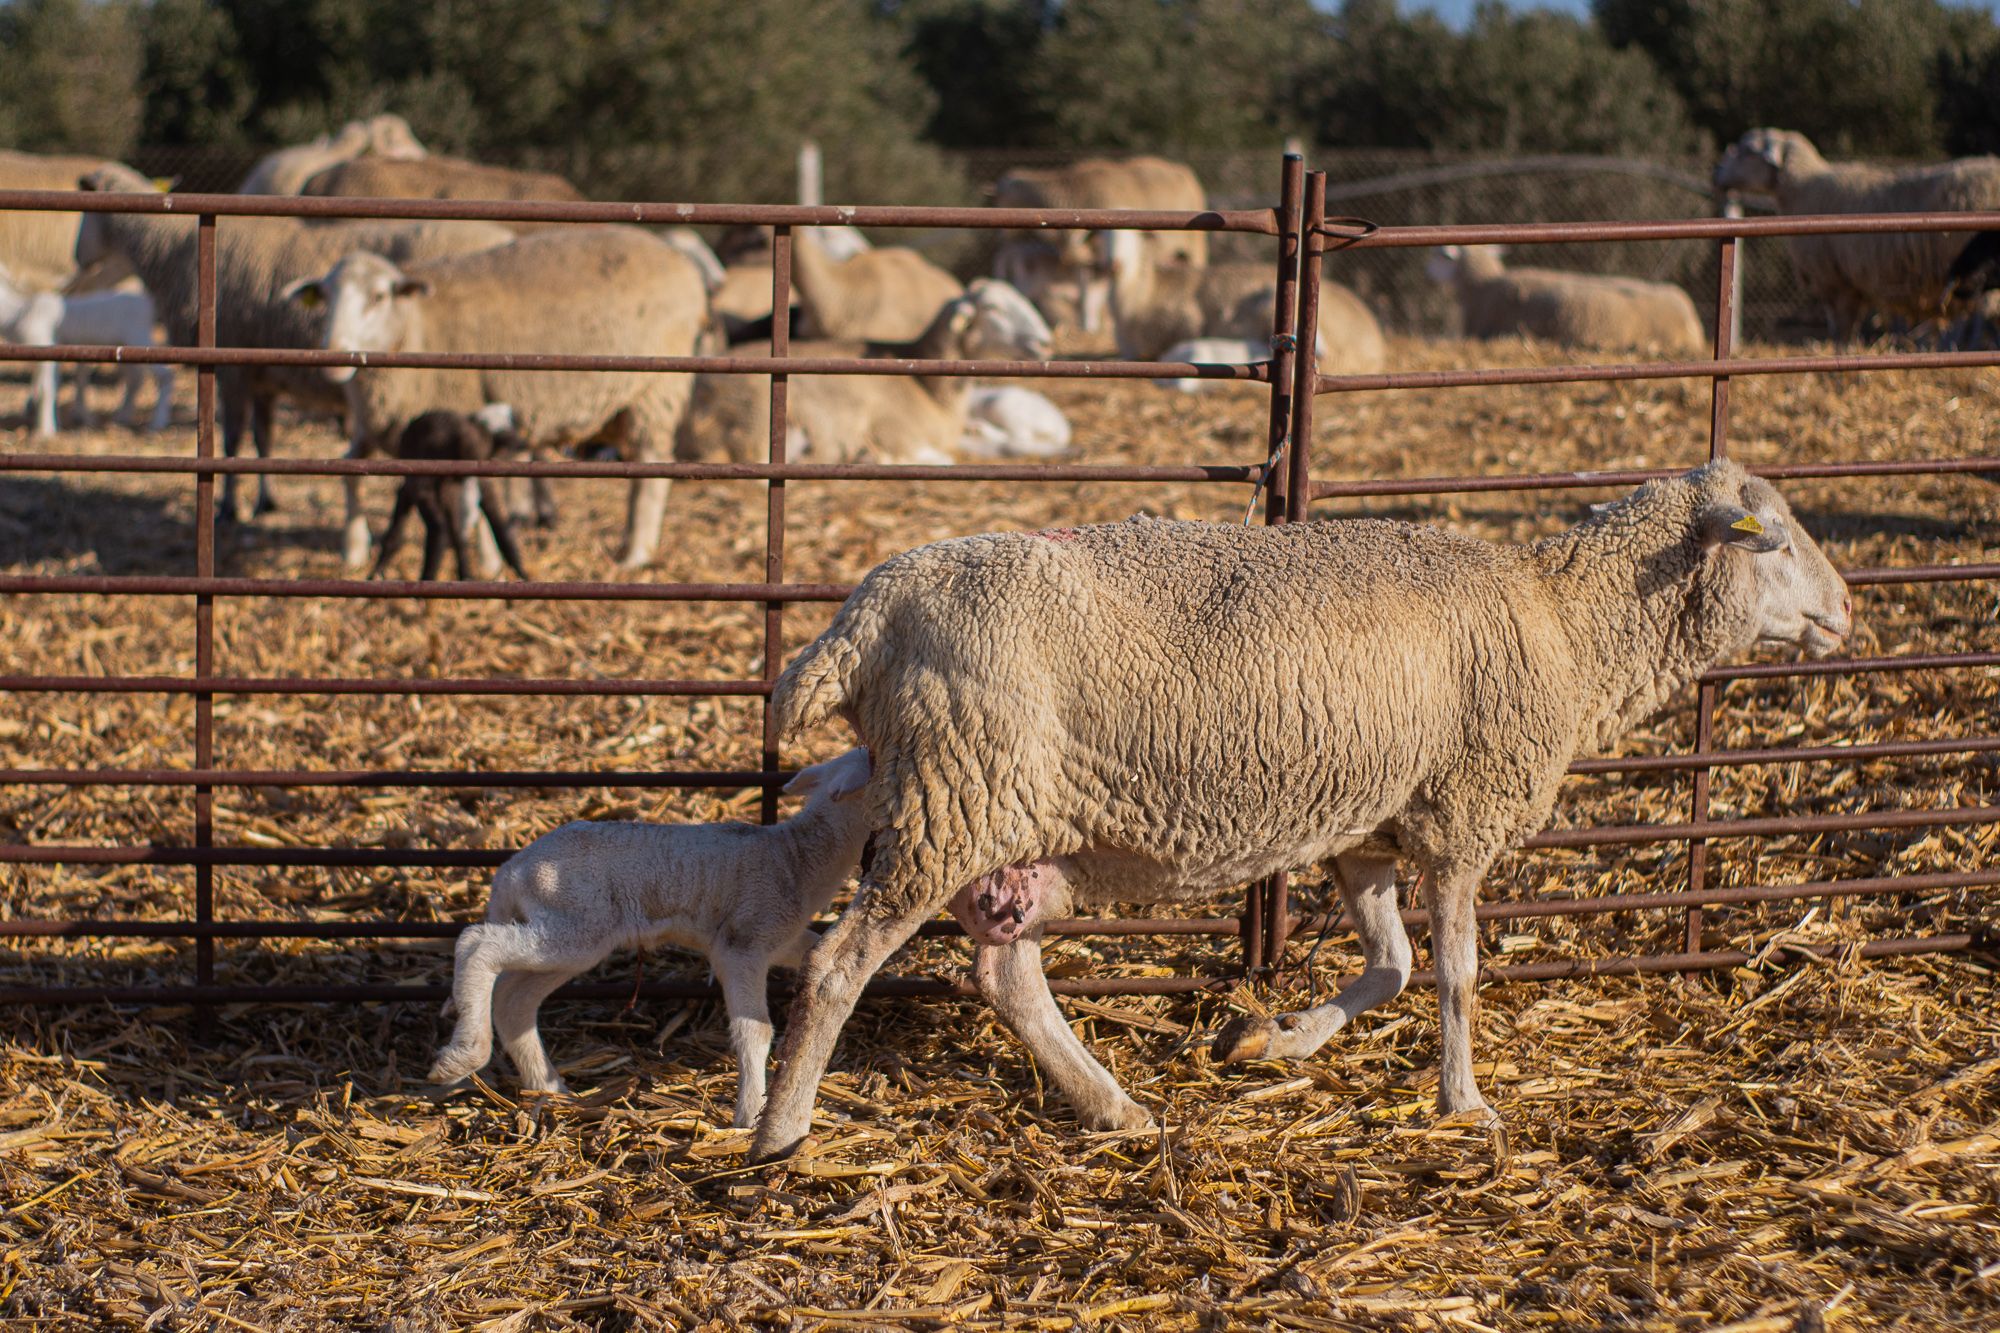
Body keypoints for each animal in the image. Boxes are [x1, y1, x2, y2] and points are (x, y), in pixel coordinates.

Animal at [74, 163, 515, 520]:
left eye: (86, 207)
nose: (77, 257)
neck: (169, 250)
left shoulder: (231, 365)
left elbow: (231, 439)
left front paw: (229, 508)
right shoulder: (263, 373)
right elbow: (263, 438)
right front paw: (265, 502)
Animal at [430, 748, 874, 1126]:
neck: (795, 859)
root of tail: (511, 871)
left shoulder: (780, 940)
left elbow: (816, 953)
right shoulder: (740, 943)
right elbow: (755, 1030)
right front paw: (750, 1114)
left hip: (570, 931)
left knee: (513, 999)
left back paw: (552, 1090)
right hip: (572, 923)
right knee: (477, 943)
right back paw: (462, 1057)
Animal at [674, 279, 1053, 467]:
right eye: (993, 309)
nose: (1046, 342)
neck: (928, 384)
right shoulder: (895, 431)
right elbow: (944, 457)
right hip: (760, 417)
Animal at [745, 460, 1852, 1160]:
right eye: (1775, 543)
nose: (1847, 611)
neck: (1568, 624)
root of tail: (863, 616)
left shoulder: (1371, 828)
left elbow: (1391, 964)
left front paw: (1267, 1042)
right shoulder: (1460, 813)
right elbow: (1453, 974)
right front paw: (1465, 1102)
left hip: (998, 822)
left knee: (1004, 974)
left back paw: (1113, 1107)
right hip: (951, 804)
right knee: (842, 962)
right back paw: (780, 1132)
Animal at [1713, 128, 2000, 339]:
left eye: (1747, 151)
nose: (1717, 173)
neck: (1804, 188)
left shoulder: (1836, 281)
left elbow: (1841, 334)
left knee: (1983, 317)